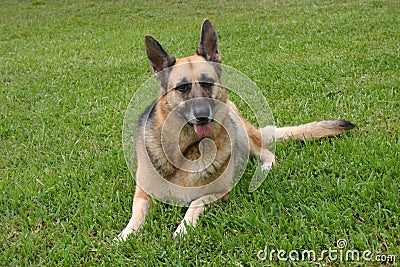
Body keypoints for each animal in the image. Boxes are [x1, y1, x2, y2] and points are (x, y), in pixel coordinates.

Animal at [116, 18, 356, 241]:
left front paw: (183, 228)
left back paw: (263, 169)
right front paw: (124, 235)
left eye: (207, 83)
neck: (187, 149)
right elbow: (136, 215)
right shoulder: (142, 194)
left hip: (244, 134)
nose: (203, 115)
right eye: (182, 87)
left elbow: (195, 203)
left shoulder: (220, 192)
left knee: (268, 154)